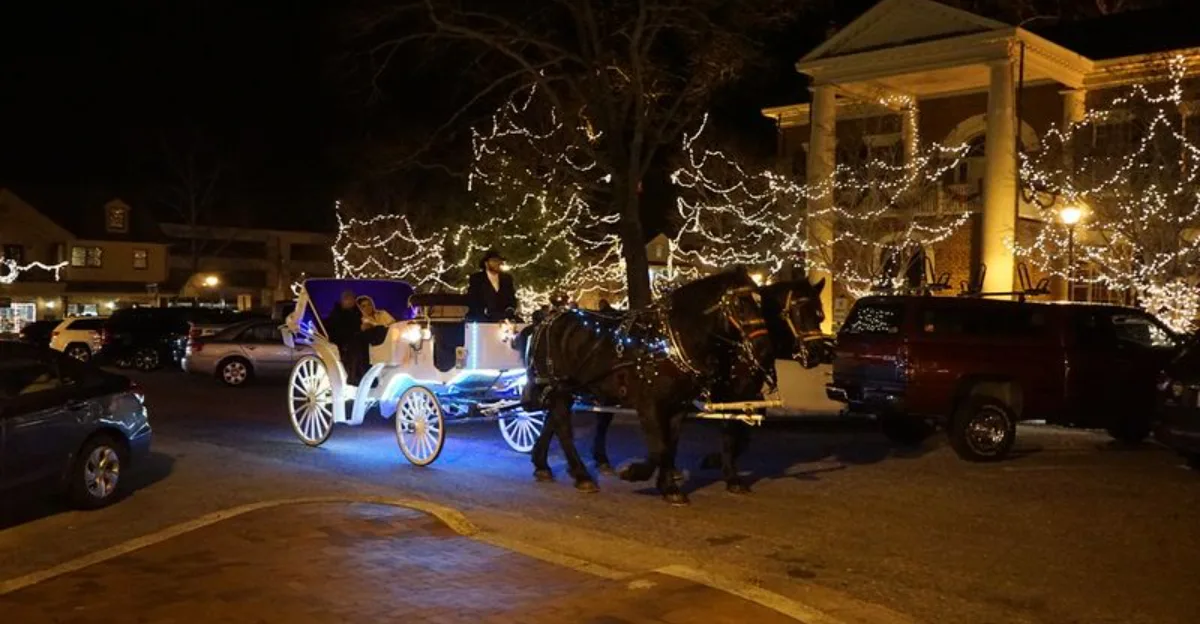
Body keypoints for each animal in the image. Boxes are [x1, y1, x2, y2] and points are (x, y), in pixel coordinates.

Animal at [522, 269, 773, 505]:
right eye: (739, 305)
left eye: (760, 303)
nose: (763, 347)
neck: (668, 341)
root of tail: (548, 319)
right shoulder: (649, 404)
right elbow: (658, 447)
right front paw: (635, 472)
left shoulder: (679, 406)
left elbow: (670, 445)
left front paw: (669, 487)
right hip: (559, 388)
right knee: (563, 427)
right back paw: (582, 475)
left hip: (564, 389)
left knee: (552, 421)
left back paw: (542, 463)